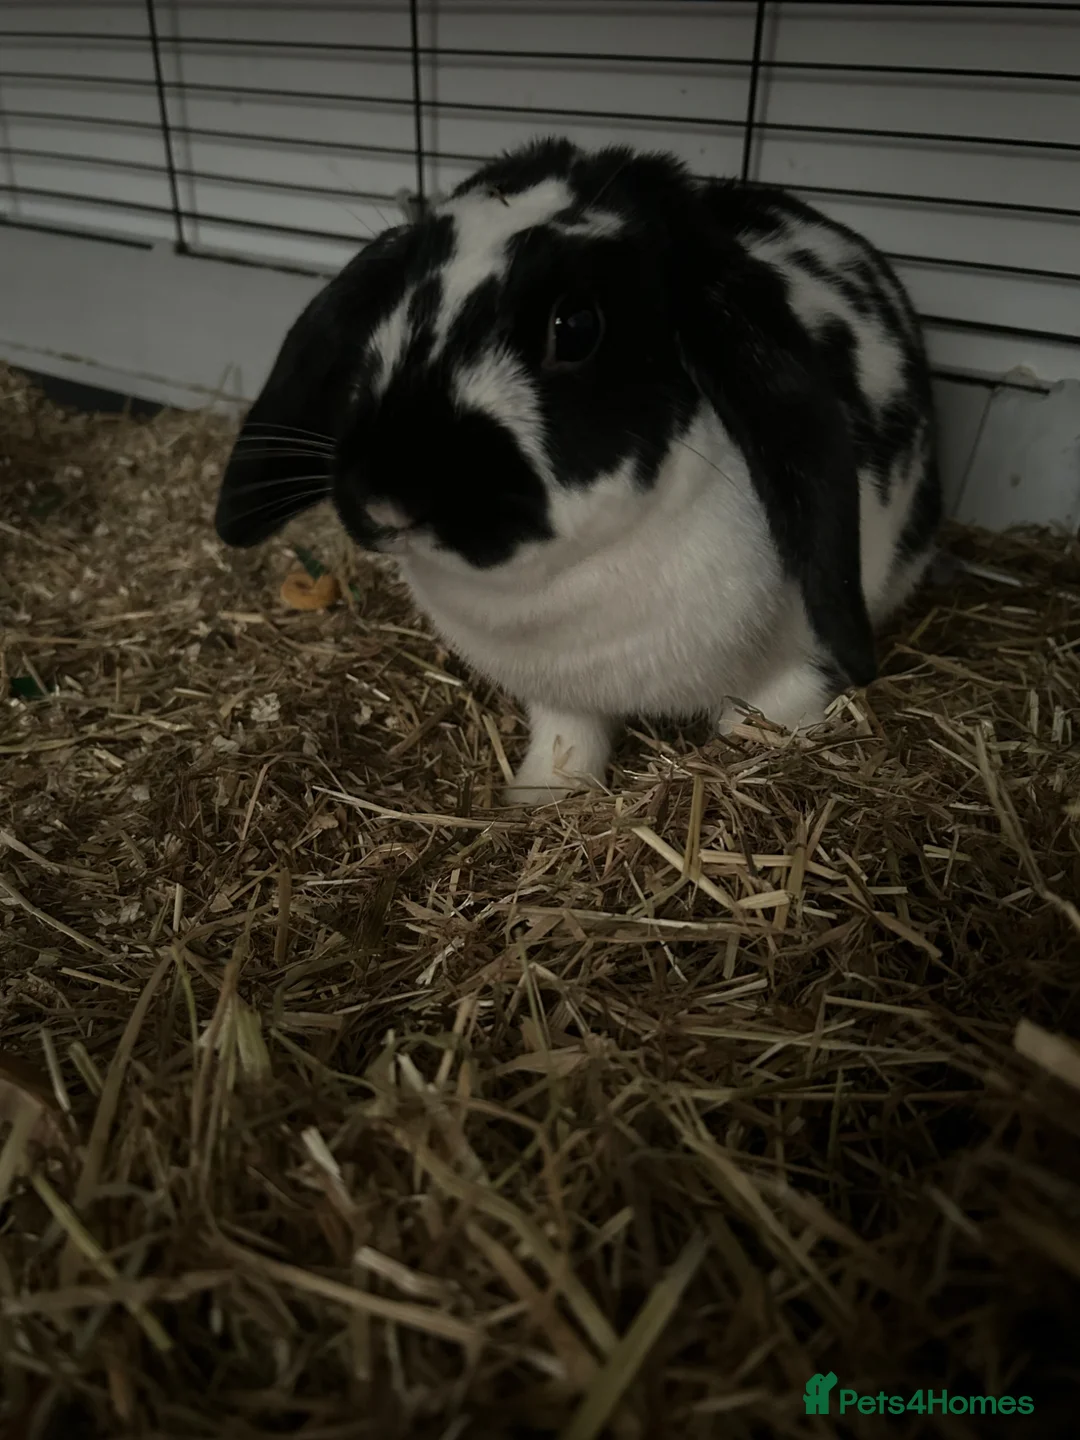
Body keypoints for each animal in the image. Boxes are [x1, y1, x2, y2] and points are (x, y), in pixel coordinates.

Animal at [215, 137, 941, 805]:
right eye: (391, 309)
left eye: (577, 327)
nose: (386, 498)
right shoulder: (561, 695)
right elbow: (570, 742)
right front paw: (535, 800)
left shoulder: (797, 668)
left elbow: (766, 720)